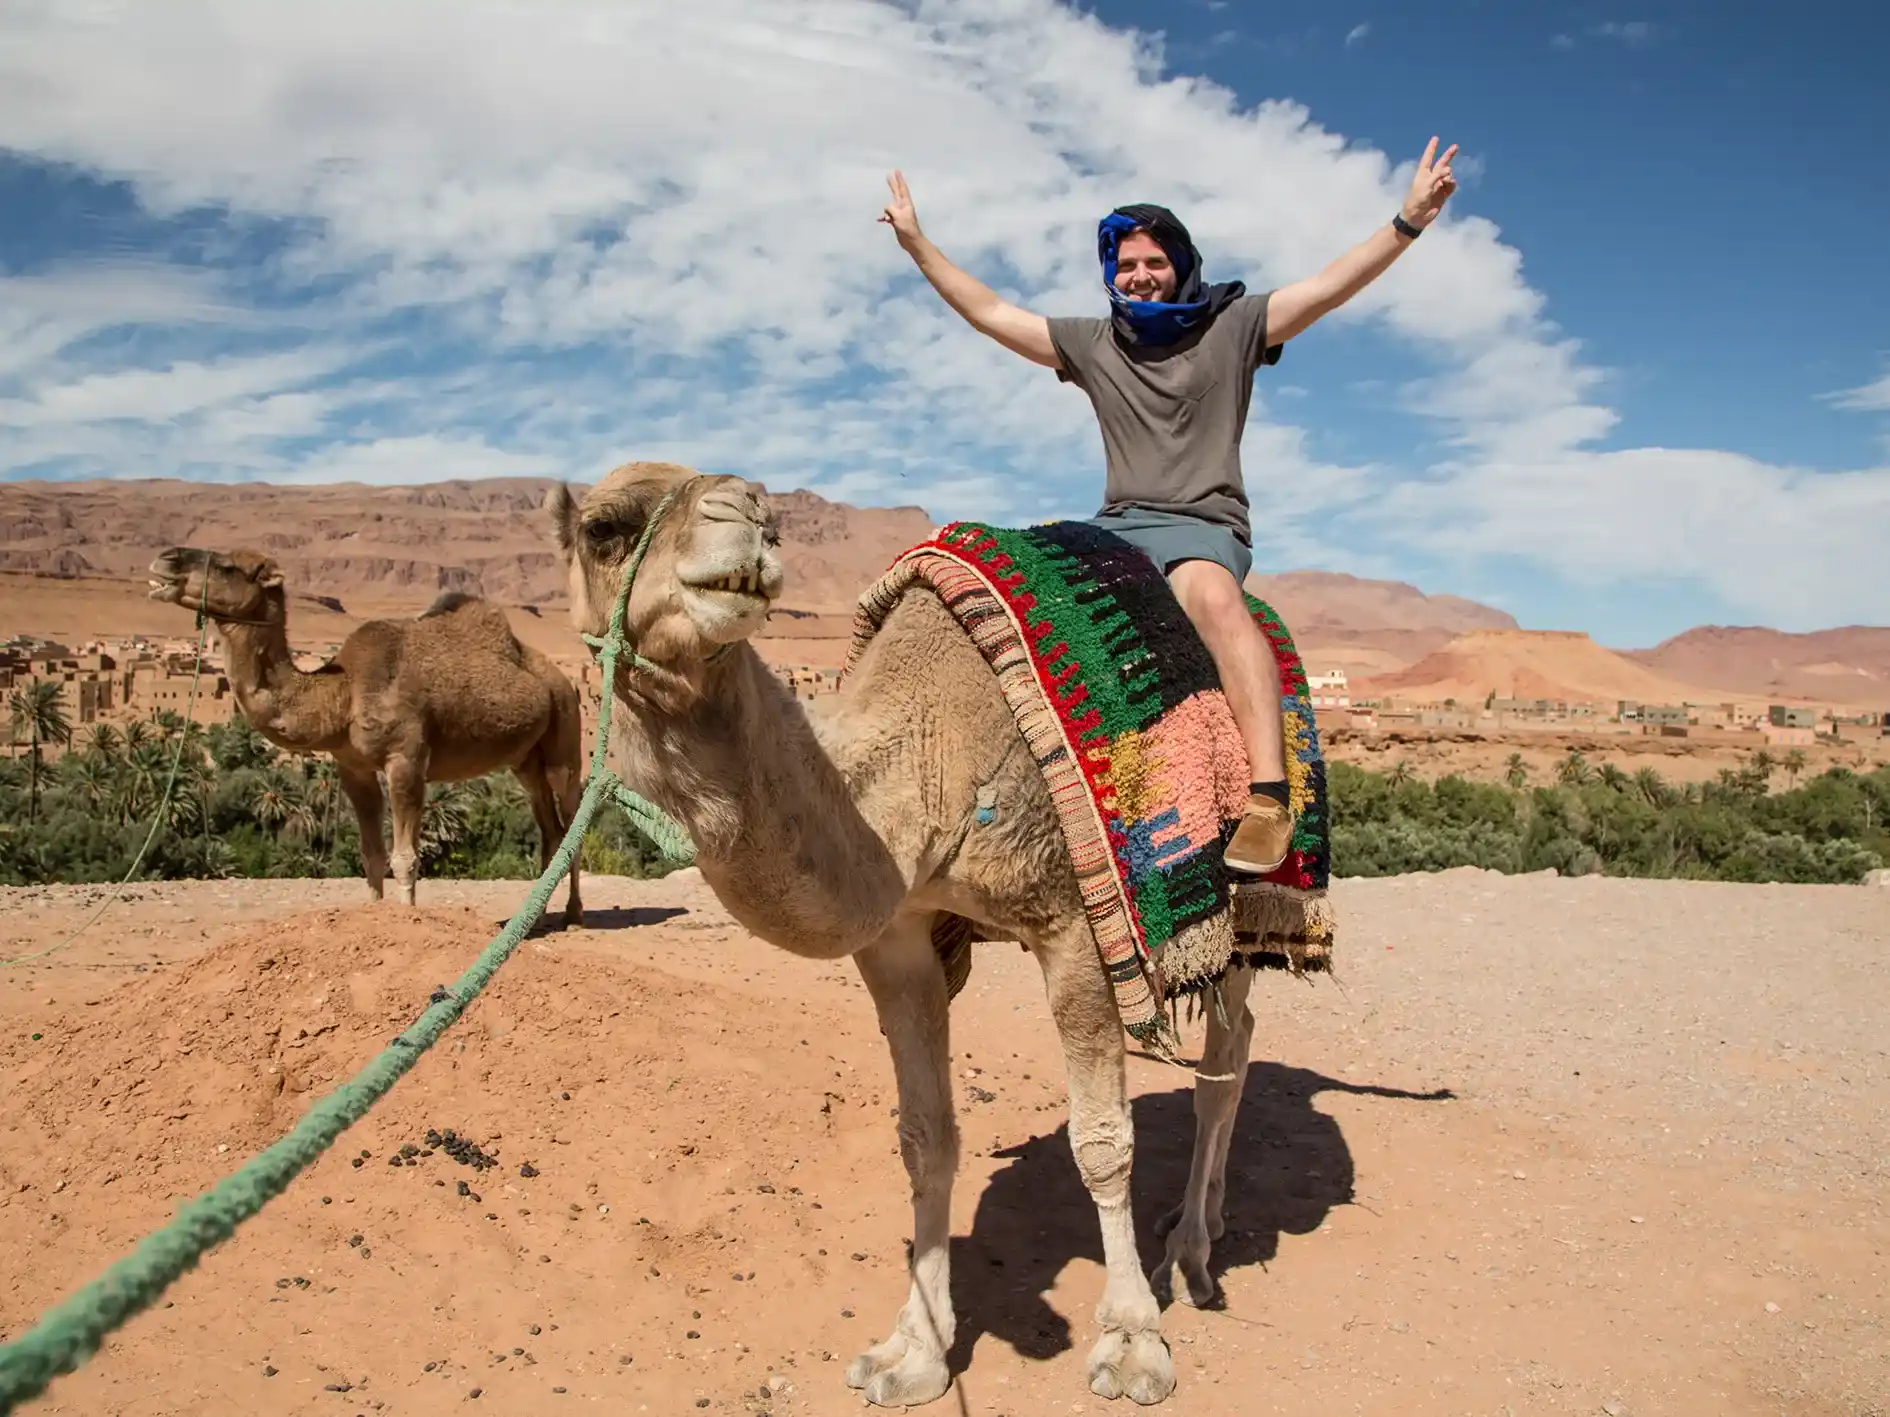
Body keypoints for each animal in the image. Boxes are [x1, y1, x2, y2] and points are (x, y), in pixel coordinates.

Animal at [147, 548, 584, 924]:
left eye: (228, 567)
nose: (165, 559)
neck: (343, 694)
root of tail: (559, 678)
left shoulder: (406, 760)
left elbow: (404, 857)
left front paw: (407, 919)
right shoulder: (352, 767)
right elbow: (371, 854)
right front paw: (372, 917)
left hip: (565, 731)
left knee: (570, 815)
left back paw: (574, 914)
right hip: (525, 762)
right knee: (551, 829)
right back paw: (533, 916)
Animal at [551, 462, 1268, 1407]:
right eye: (603, 529)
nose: (745, 511)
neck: (931, 757)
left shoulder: (1073, 920)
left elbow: (1101, 1142)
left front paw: (1130, 1343)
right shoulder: (900, 939)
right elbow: (926, 1139)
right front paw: (913, 1350)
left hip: (1237, 901)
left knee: (1224, 1057)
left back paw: (1188, 1253)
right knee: (1235, 1047)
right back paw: (1200, 1221)